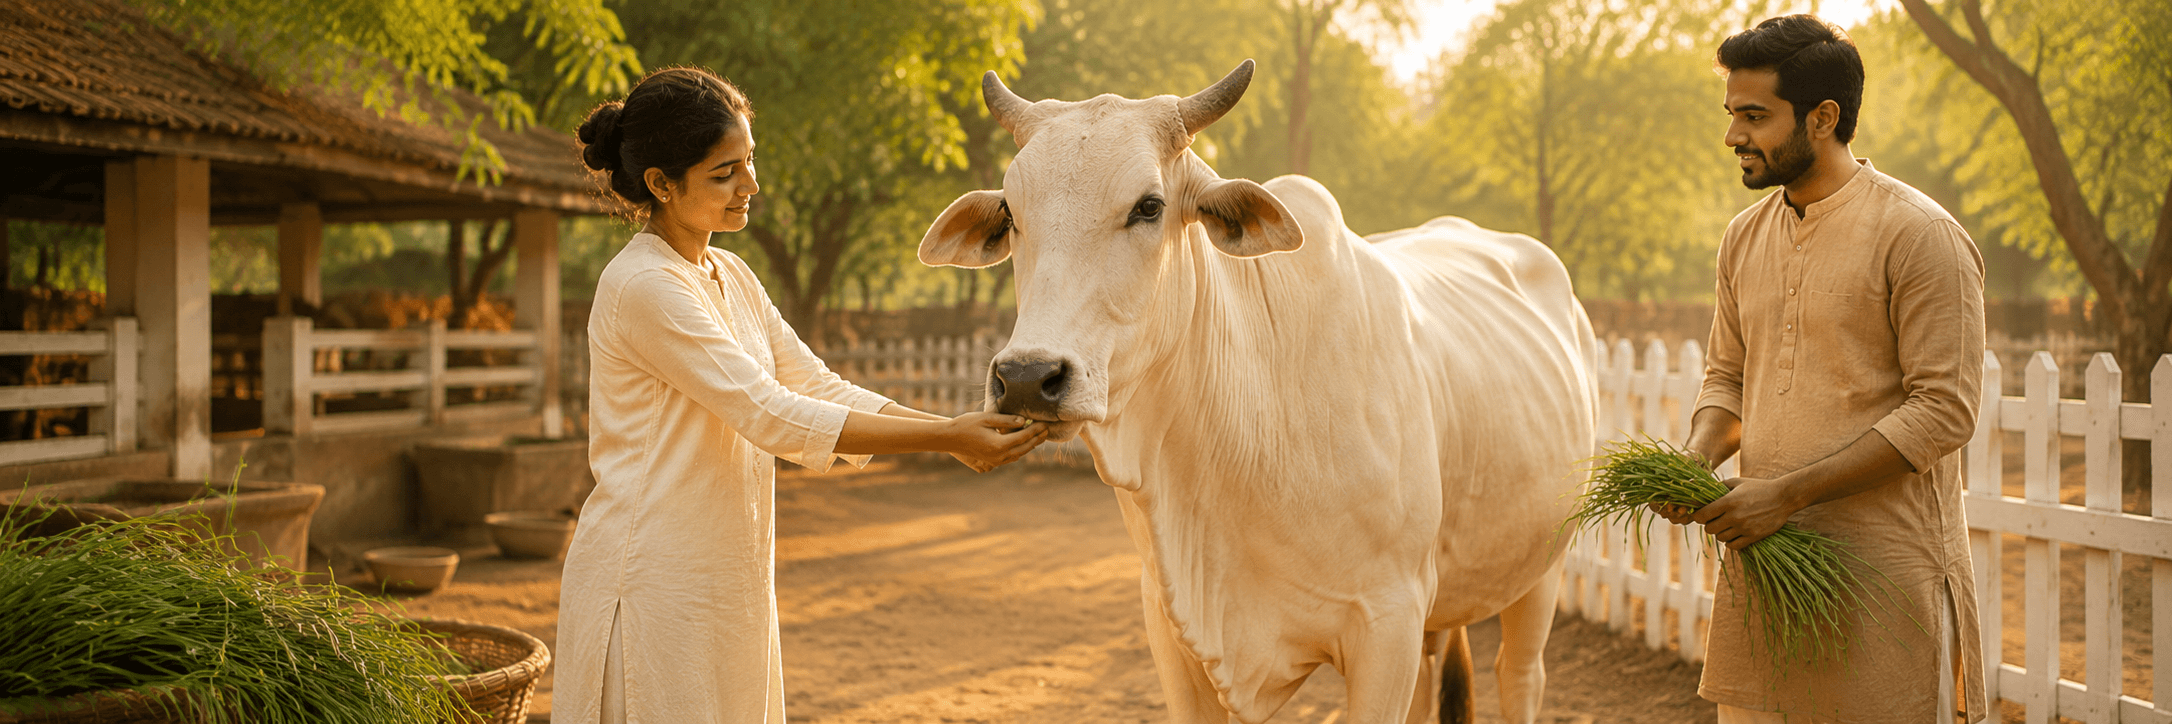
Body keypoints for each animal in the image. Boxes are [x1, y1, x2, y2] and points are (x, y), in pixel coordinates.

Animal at [917, 60, 1600, 724]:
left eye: (1149, 206)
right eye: (1011, 213)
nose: (1027, 377)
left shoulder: (1389, 622)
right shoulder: (1170, 624)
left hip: (1542, 566)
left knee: (1519, 675)